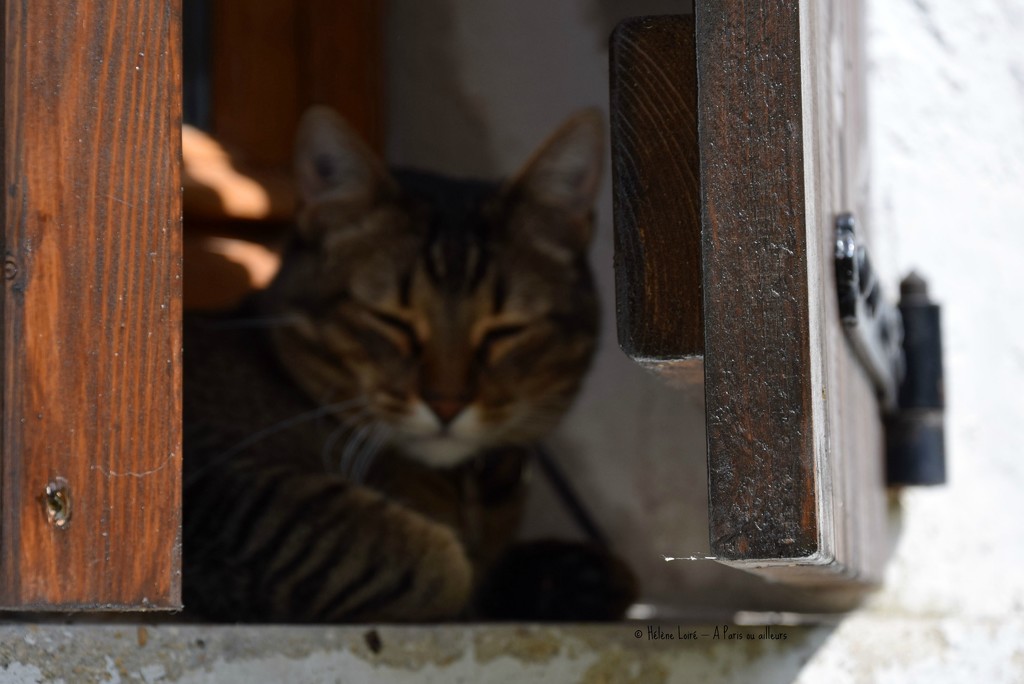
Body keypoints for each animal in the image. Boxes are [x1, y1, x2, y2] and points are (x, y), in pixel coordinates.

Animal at [182, 105, 630, 618]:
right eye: (392, 320)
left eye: (505, 330)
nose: (447, 404)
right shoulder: (220, 486)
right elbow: (435, 563)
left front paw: (570, 577)